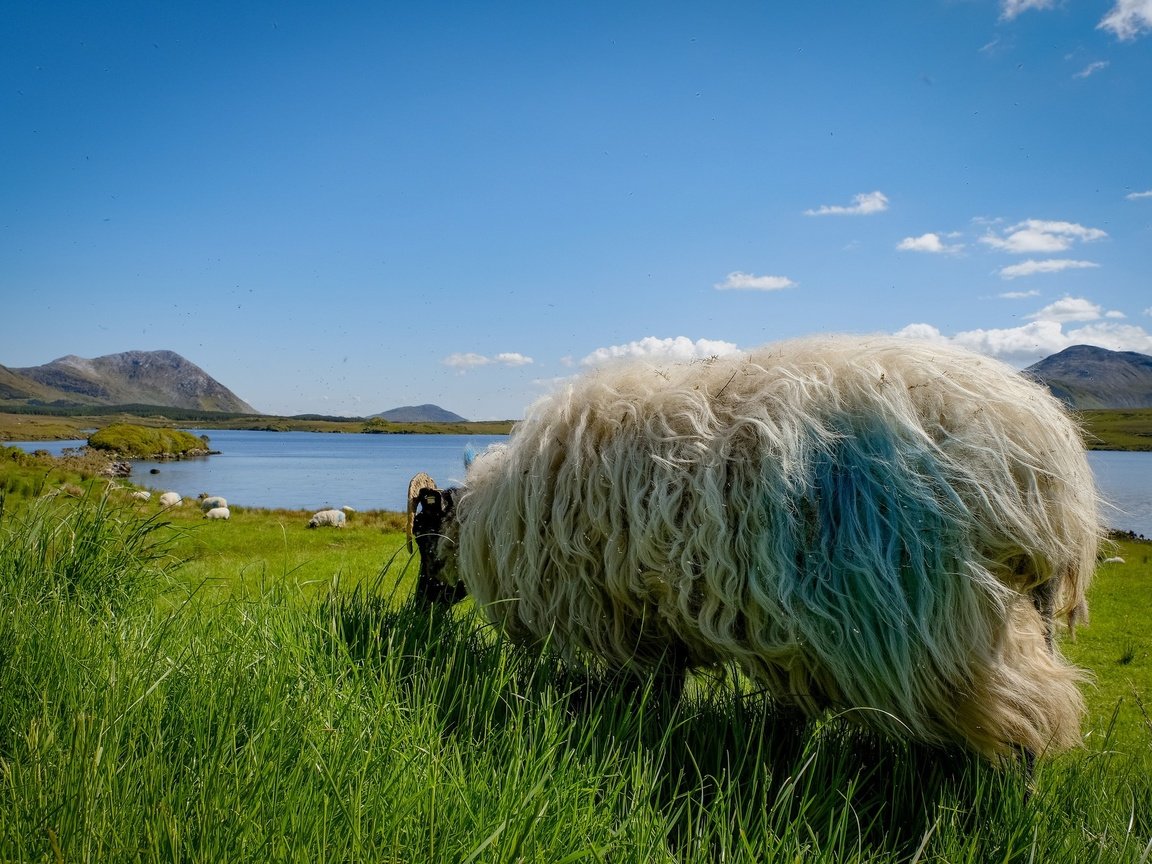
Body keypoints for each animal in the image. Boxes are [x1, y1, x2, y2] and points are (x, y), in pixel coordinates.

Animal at [410, 334, 1101, 760]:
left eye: (422, 540)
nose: (418, 612)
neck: (491, 518)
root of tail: (1047, 462)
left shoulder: (628, 610)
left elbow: (652, 689)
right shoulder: (662, 613)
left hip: (946, 616)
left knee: (1024, 716)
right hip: (1008, 613)